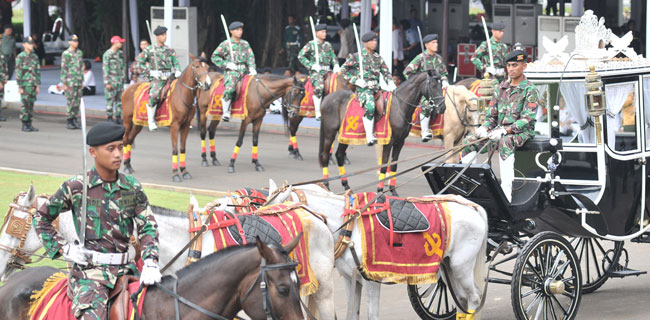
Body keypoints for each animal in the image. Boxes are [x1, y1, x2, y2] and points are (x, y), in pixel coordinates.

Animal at [121, 54, 210, 182]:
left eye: (207, 67)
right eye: (197, 66)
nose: (207, 84)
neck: (182, 94)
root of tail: (128, 88)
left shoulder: (186, 125)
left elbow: (182, 148)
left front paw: (184, 171)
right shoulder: (174, 126)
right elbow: (175, 149)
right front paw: (175, 174)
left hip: (138, 123)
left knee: (129, 139)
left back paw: (128, 165)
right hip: (127, 121)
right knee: (125, 139)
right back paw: (126, 166)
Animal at [264, 181, 486, 320]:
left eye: (276, 211)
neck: (349, 224)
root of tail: (473, 205)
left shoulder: (371, 280)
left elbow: (372, 315)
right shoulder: (350, 279)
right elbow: (352, 314)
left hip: (461, 266)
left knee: (474, 298)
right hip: (448, 268)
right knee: (462, 300)